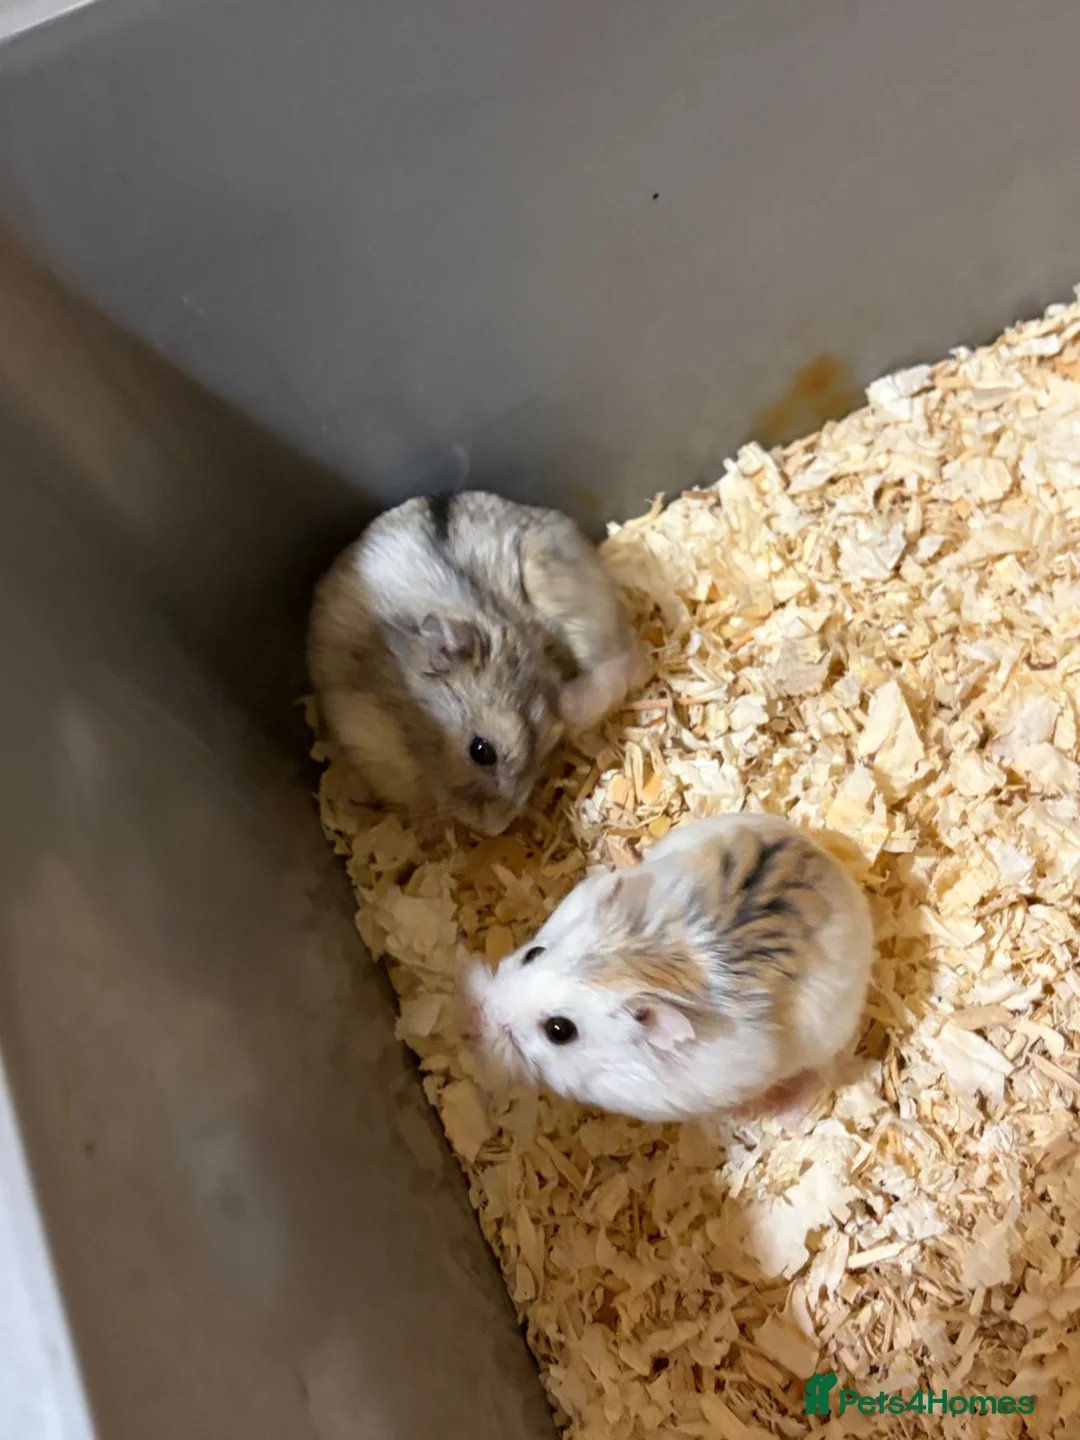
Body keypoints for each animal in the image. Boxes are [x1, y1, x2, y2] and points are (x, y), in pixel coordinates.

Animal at [462, 813, 874, 1123]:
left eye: (559, 1031)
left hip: (828, 1032)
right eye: (533, 953)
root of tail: (834, 867)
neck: (638, 959)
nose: (480, 1016)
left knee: (825, 1071)